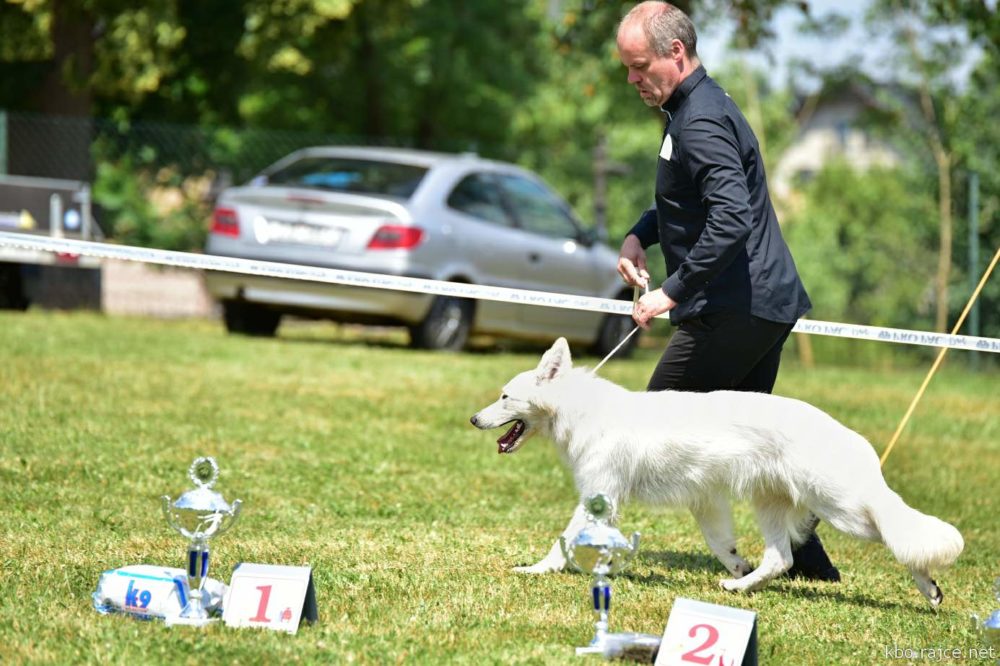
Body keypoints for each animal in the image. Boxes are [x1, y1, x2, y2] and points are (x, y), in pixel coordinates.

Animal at [472, 340, 964, 604]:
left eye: (504, 396)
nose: (474, 420)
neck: (582, 409)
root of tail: (845, 434)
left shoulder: (600, 497)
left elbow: (564, 539)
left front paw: (537, 569)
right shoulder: (704, 499)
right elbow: (720, 541)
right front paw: (734, 564)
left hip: (843, 508)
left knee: (893, 531)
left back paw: (928, 587)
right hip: (771, 503)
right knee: (780, 559)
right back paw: (738, 585)